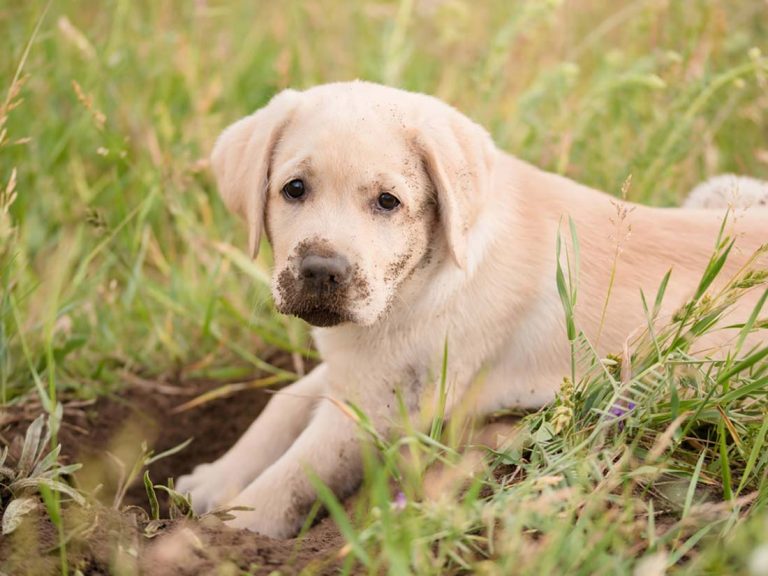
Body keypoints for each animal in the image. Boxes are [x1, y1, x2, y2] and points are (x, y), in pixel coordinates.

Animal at [176, 80, 768, 536]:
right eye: (294, 189)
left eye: (388, 202)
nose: (322, 270)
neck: (422, 282)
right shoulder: (359, 368)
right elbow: (283, 406)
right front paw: (217, 478)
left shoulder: (379, 405)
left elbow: (293, 476)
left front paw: (219, 537)